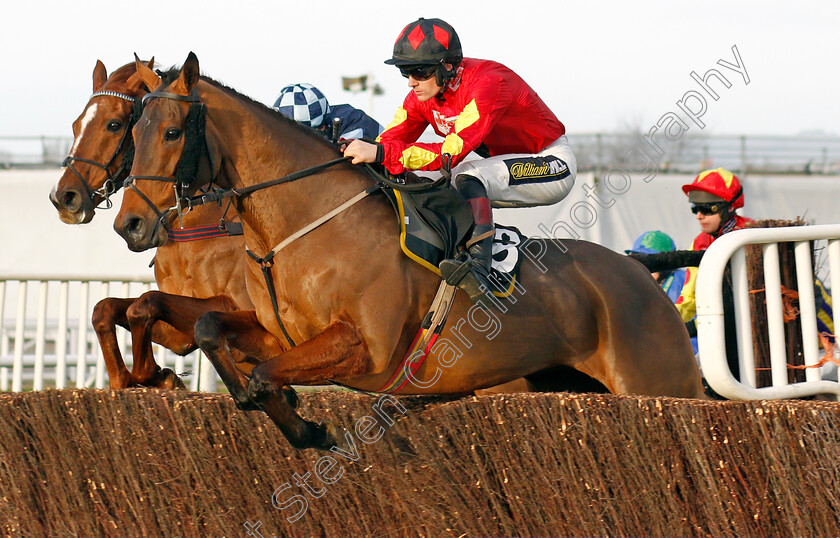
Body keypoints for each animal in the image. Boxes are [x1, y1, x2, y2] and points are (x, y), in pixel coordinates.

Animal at [48, 57, 253, 386]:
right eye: (76, 125)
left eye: (114, 124)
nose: (64, 197)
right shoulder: (178, 332)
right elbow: (107, 309)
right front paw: (140, 377)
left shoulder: (239, 310)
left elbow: (142, 306)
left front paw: (155, 374)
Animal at [111, 54, 704, 448]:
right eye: (130, 133)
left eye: (170, 132)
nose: (129, 225)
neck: (304, 224)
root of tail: (638, 271)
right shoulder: (278, 333)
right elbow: (211, 330)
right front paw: (285, 415)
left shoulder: (364, 350)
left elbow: (262, 375)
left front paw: (306, 427)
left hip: (660, 381)